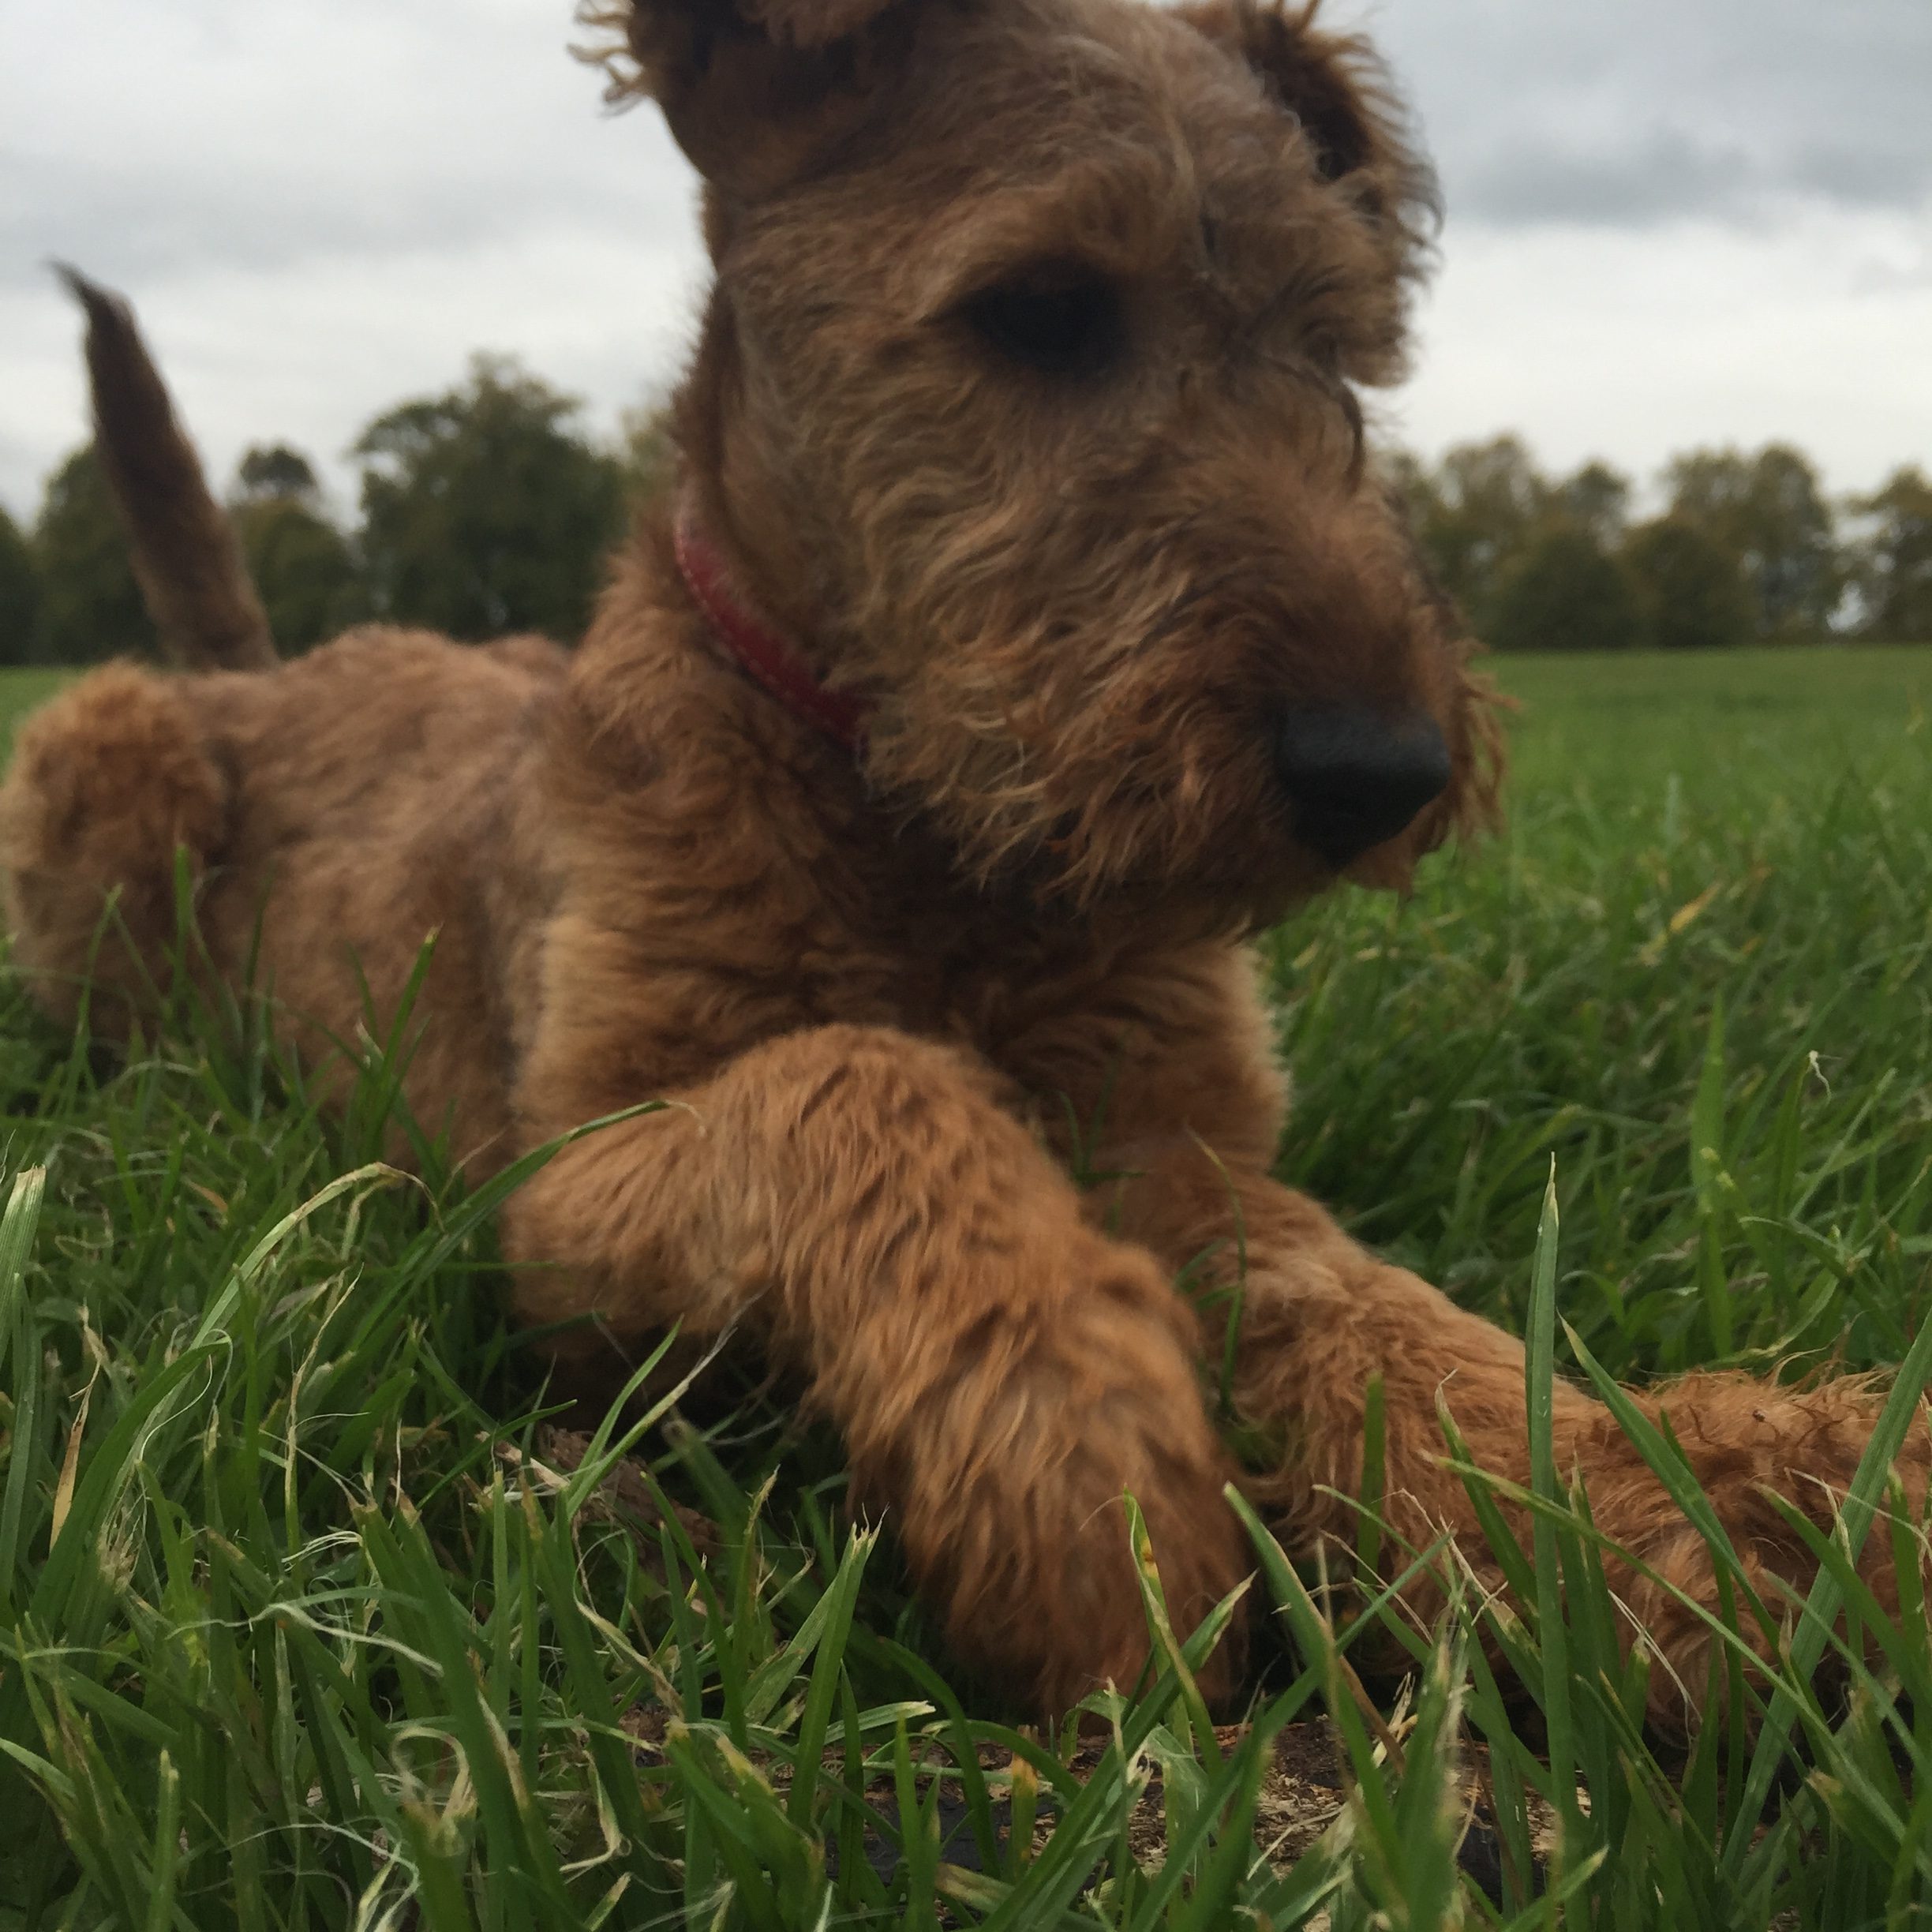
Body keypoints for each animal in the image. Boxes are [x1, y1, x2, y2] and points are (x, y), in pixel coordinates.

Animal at [4, 0, 1924, 1724]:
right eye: (1040, 310)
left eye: (1333, 345)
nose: (1384, 769)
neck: (926, 845)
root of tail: (261, 671)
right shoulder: (557, 1192)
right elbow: (859, 1082)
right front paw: (1077, 1452)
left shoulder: (1173, 1136)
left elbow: (1369, 1306)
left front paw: (1669, 1502)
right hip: (99, 752)